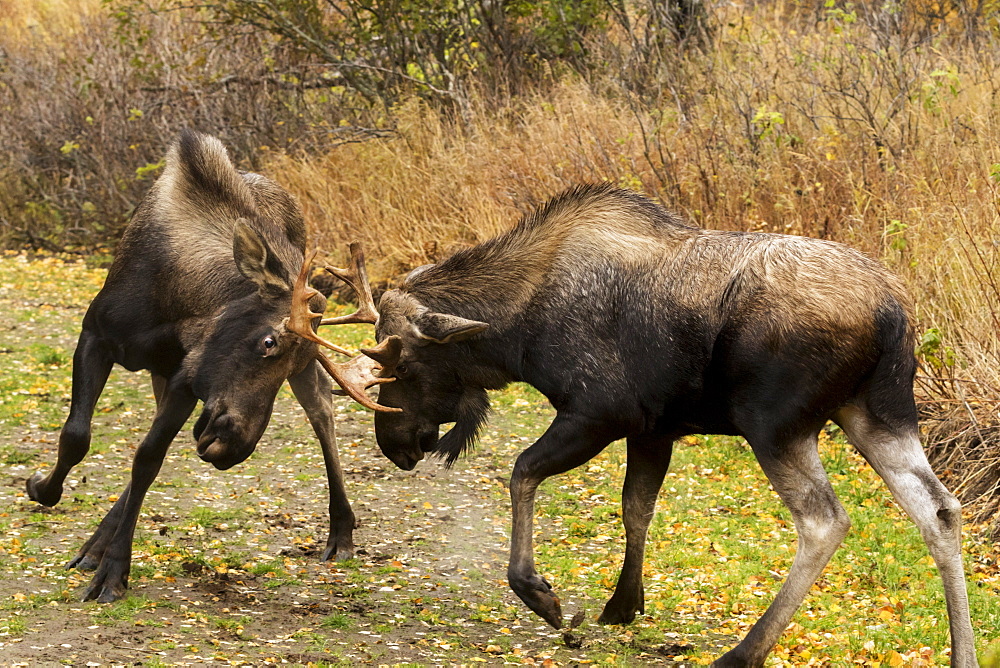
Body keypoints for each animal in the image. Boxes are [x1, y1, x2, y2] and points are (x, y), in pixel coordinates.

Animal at [26, 128, 394, 604]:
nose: (232, 446)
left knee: (322, 414)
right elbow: (76, 436)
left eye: (287, 359)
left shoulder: (186, 377)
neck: (176, 306)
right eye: (268, 341)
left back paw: (341, 531)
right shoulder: (97, 336)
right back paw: (93, 544)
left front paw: (114, 571)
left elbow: (147, 459)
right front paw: (42, 488)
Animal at [362, 181, 976, 664]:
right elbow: (636, 507)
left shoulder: (597, 413)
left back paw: (742, 653)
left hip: (775, 423)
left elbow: (522, 473)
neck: (514, 335)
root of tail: (893, 313)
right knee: (939, 509)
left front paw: (544, 597)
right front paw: (623, 603)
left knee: (825, 520)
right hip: (877, 412)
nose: (394, 444)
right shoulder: (653, 429)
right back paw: (962, 652)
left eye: (402, 363)